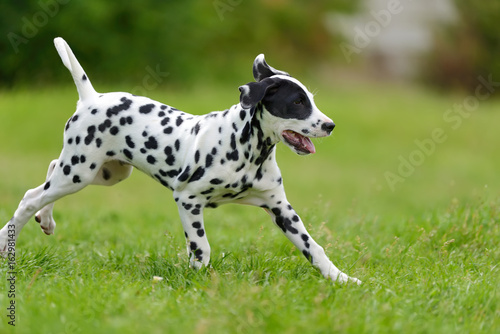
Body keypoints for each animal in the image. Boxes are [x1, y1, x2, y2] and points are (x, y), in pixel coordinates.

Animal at [0, 38, 360, 284]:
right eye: (297, 102)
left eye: (310, 100)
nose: (330, 125)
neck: (246, 151)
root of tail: (92, 98)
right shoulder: (187, 199)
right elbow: (201, 247)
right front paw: (199, 279)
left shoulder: (281, 208)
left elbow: (314, 248)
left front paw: (342, 279)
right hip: (78, 172)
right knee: (30, 197)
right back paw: (7, 242)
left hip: (102, 173)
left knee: (47, 174)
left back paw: (46, 220)